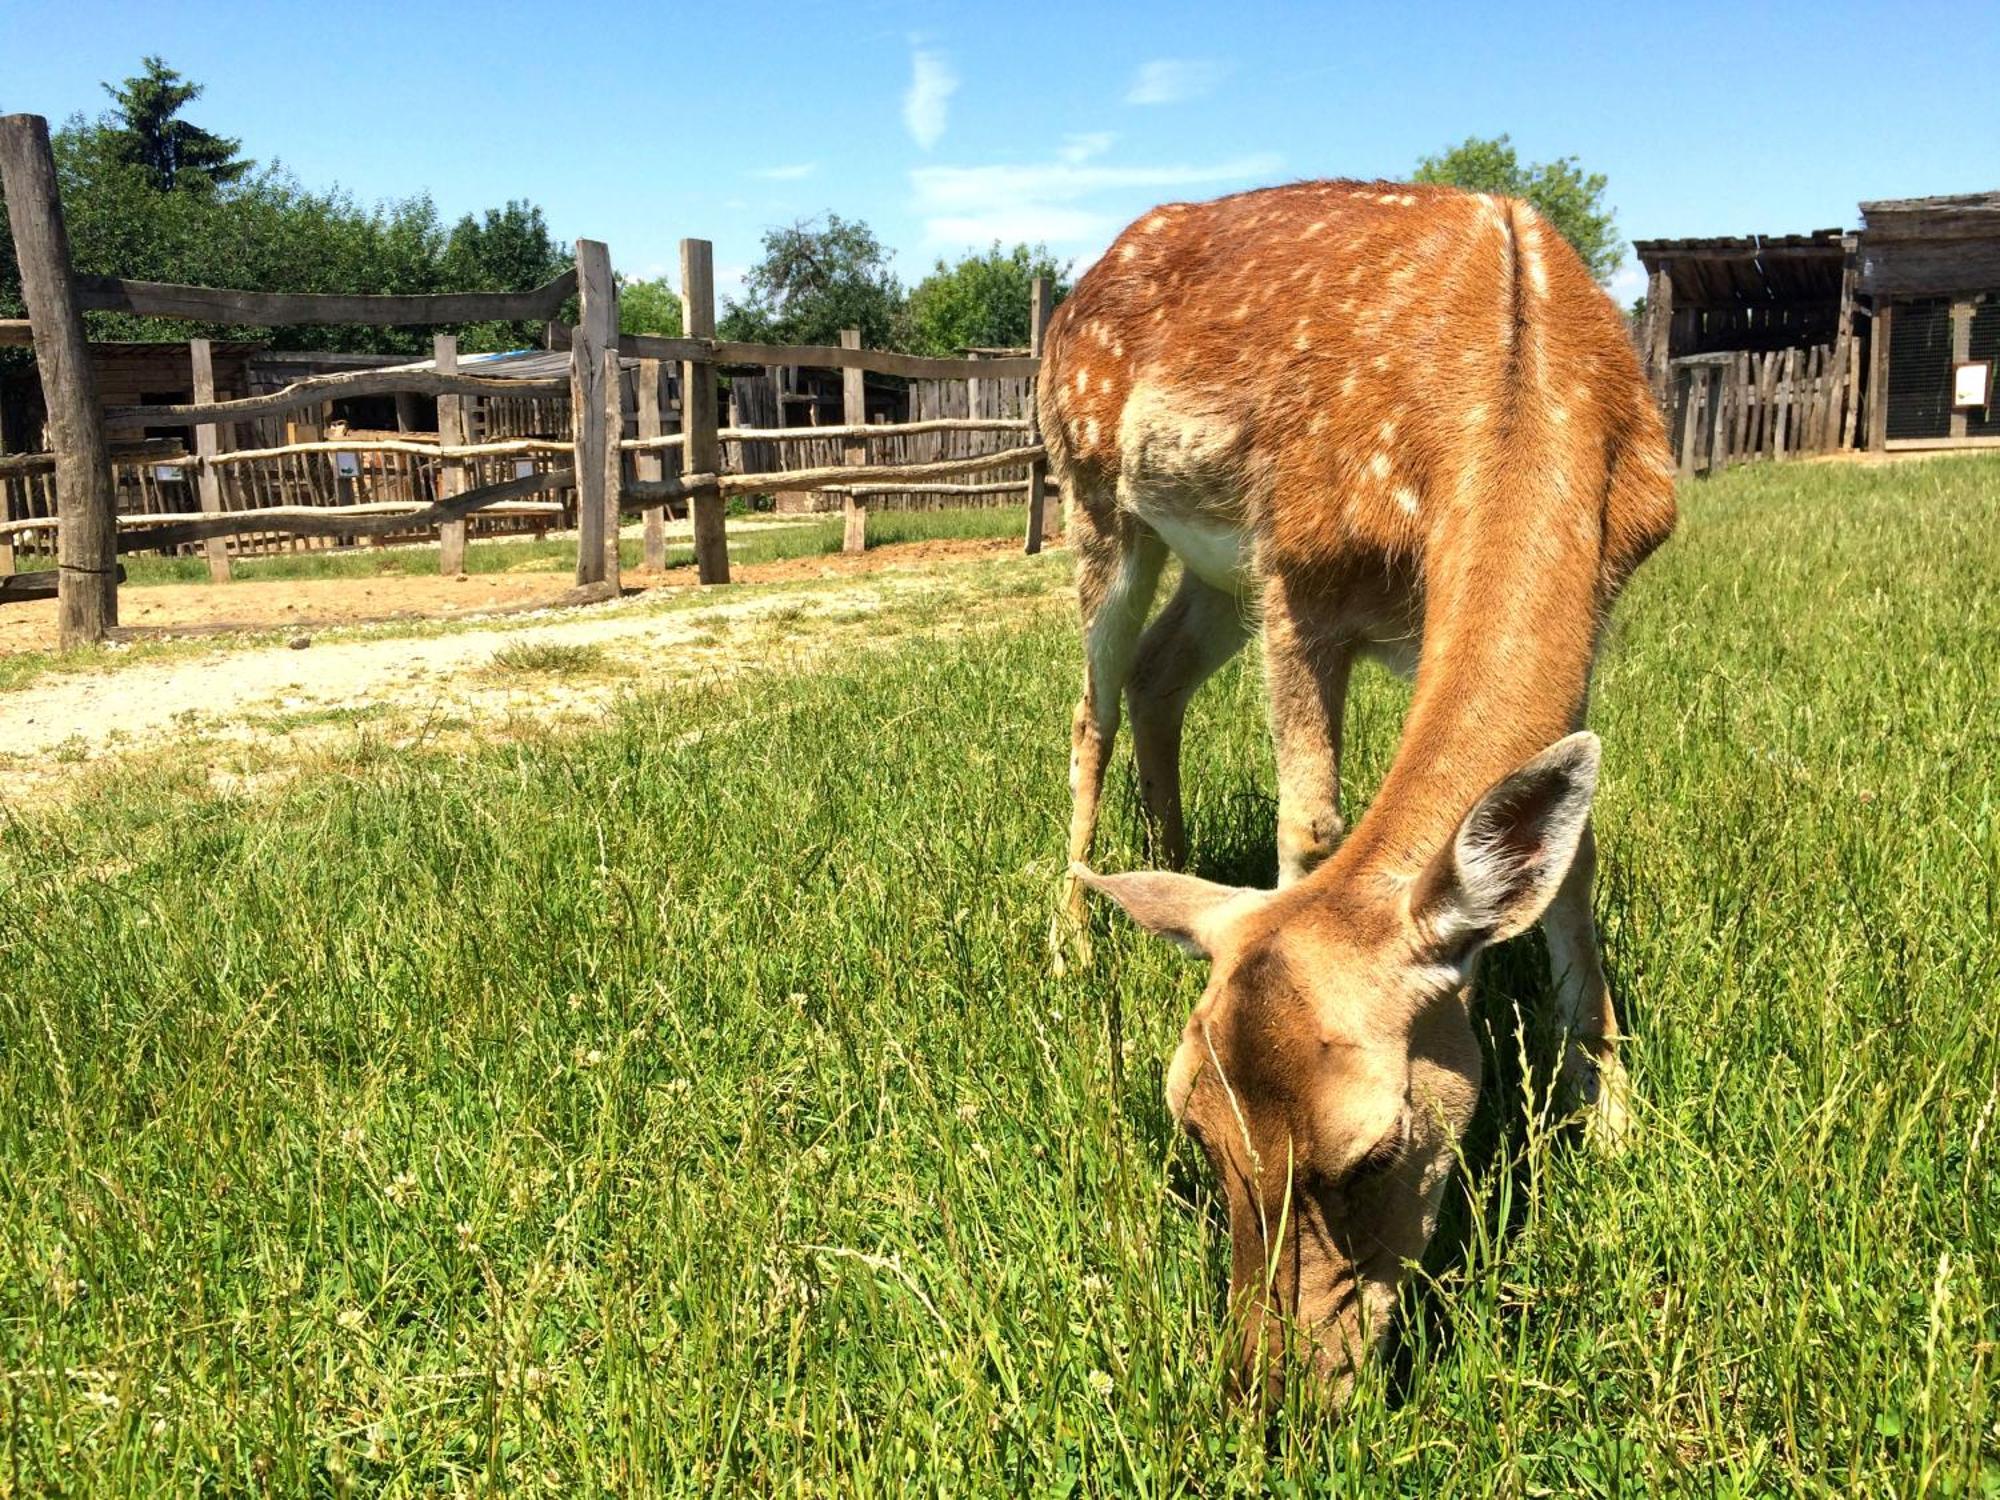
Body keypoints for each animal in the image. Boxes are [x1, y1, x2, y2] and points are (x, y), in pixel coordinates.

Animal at [1040, 182, 1680, 1408]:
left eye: (1373, 1152)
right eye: (1194, 1134)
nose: (1269, 1389)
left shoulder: (1599, 601)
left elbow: (1572, 858)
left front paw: (1618, 1126)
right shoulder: (1301, 566)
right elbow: (1312, 825)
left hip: (1216, 568)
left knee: (1154, 678)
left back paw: (1166, 867)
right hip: (1094, 495)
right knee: (1092, 708)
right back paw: (1069, 944)